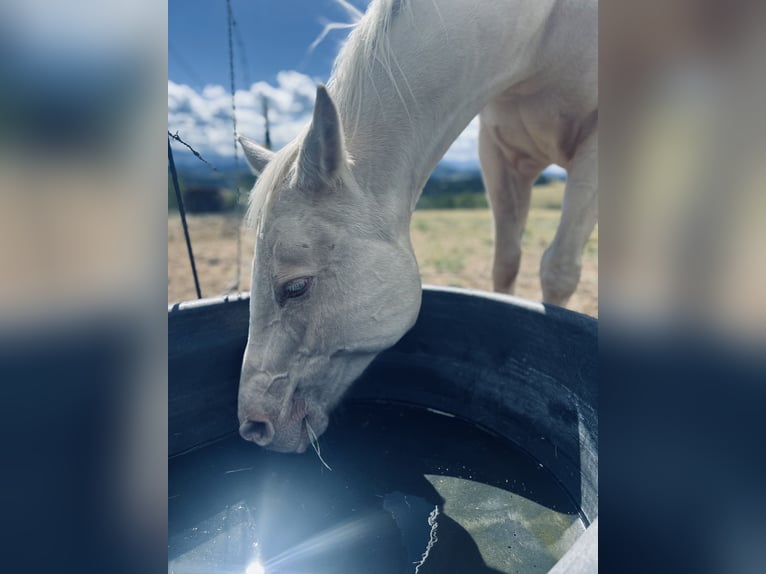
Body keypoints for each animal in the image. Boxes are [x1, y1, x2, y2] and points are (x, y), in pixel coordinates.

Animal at [236, 0, 597, 452]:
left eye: (297, 287)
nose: (253, 428)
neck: (544, 32)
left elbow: (558, 271)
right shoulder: (500, 156)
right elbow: (506, 263)